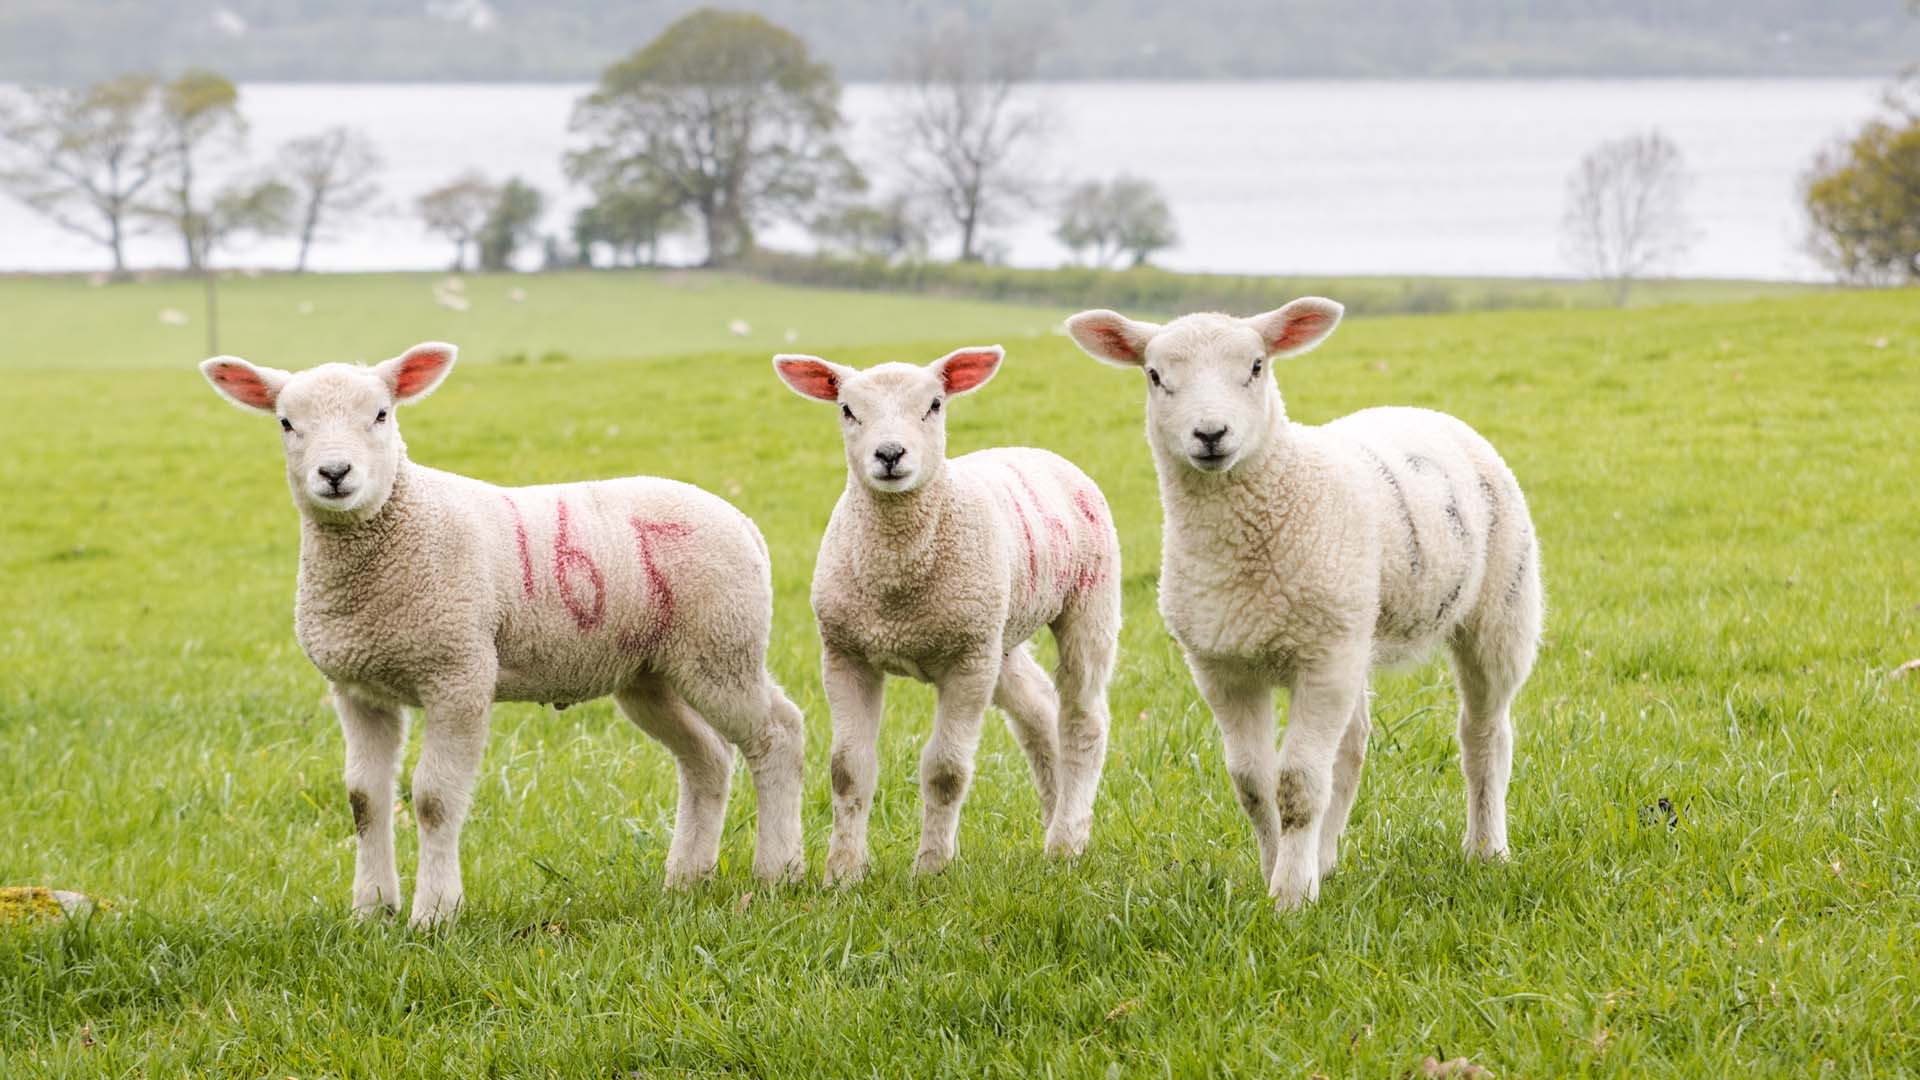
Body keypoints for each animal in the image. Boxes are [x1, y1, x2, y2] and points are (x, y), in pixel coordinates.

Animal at [198, 342, 805, 927]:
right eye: (285, 422)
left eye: (381, 414)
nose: (334, 473)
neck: (402, 526)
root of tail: (741, 521)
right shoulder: (357, 688)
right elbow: (364, 800)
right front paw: (371, 911)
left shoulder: (459, 673)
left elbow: (434, 799)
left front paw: (433, 914)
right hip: (650, 672)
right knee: (707, 758)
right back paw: (685, 879)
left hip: (721, 645)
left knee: (777, 732)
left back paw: (777, 871)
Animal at [773, 346, 1122, 882]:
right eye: (847, 410)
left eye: (934, 405)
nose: (890, 454)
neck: (897, 585)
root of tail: (1036, 451)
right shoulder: (845, 653)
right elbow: (848, 769)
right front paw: (843, 873)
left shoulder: (966, 663)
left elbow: (945, 771)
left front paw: (932, 867)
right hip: (996, 631)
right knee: (1039, 707)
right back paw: (1055, 814)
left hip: (1086, 601)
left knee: (1084, 719)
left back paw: (1067, 841)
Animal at [1065, 300, 1543, 911]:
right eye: (1154, 375)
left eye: (1256, 366)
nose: (1211, 433)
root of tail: (1420, 410)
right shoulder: (1223, 666)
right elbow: (1253, 782)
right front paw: (1279, 870)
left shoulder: (1321, 658)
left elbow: (1297, 784)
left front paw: (1291, 896)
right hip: (1354, 631)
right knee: (1352, 746)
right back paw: (1328, 857)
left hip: (1500, 610)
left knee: (1484, 734)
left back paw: (1486, 848)